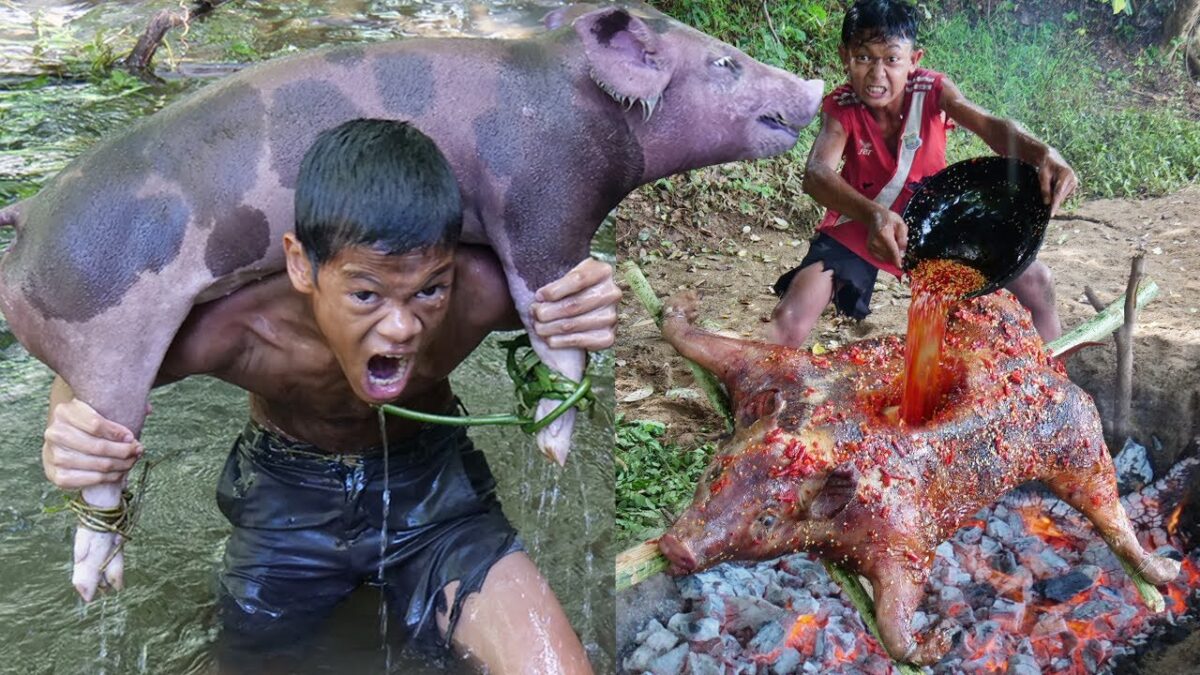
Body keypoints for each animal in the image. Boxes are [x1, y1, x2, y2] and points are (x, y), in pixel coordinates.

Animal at [656, 290, 1180, 666]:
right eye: (715, 470)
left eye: (766, 520)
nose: (675, 549)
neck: (828, 441)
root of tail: (1038, 354)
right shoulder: (779, 369)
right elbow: (715, 346)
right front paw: (678, 308)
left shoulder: (901, 532)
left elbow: (896, 616)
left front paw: (941, 639)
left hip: (1075, 435)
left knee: (1106, 506)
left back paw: (1165, 572)